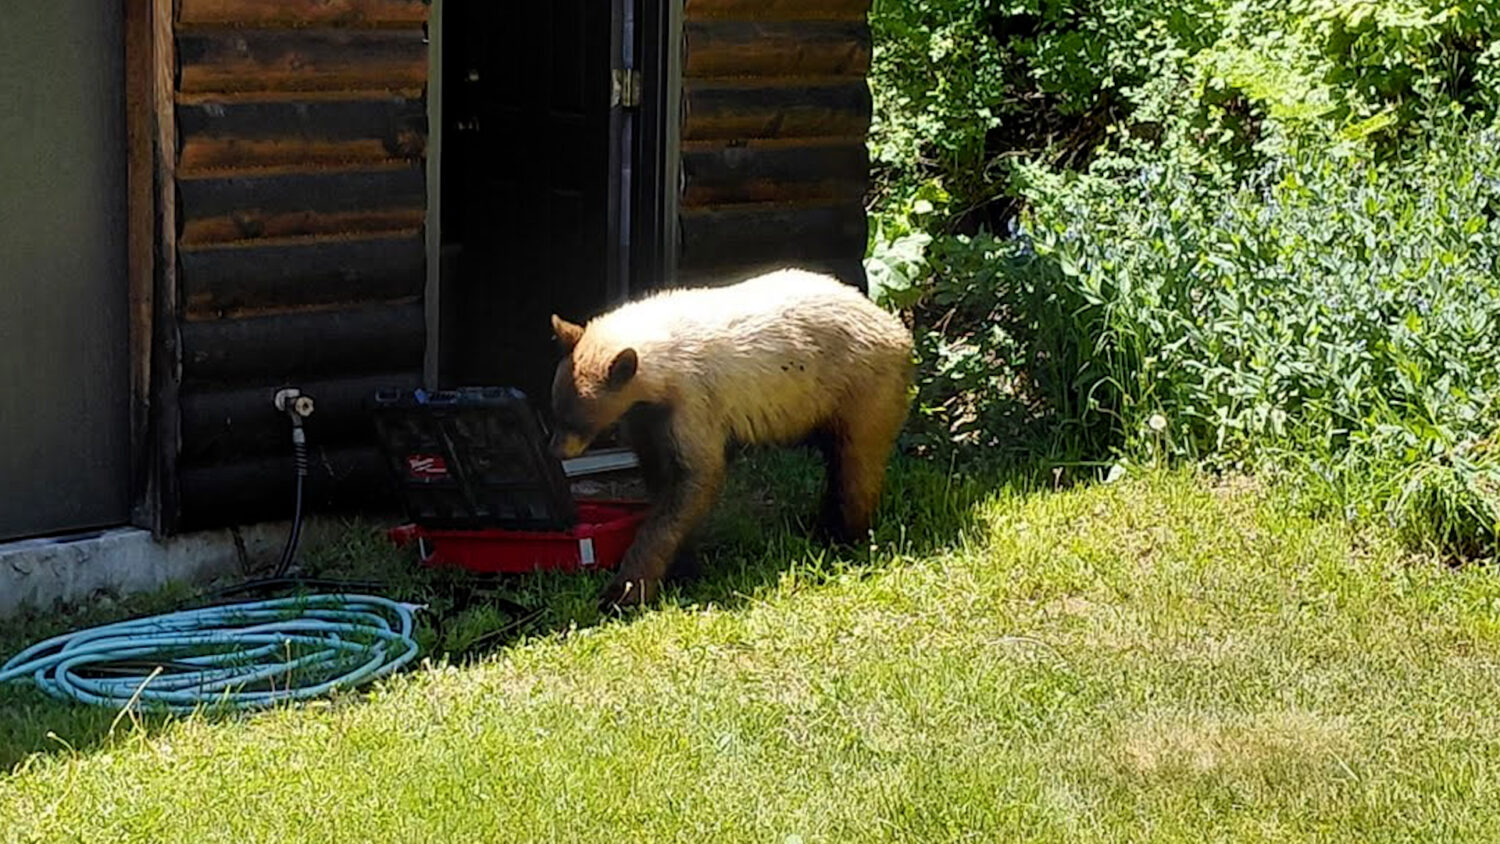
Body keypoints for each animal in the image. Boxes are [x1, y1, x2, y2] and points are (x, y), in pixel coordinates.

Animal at [547, 267, 915, 610]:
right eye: (554, 408)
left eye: (574, 419)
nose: (554, 451)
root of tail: (898, 329)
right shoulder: (646, 418)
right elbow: (661, 478)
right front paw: (683, 567)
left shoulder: (694, 403)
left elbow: (696, 478)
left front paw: (625, 589)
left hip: (862, 388)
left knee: (857, 464)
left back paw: (844, 537)